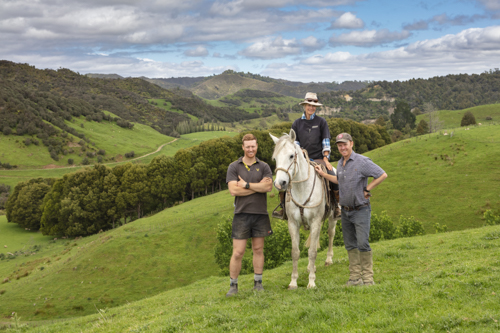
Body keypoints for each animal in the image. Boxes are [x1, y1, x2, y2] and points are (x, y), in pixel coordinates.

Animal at [272, 129, 338, 288]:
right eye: (275, 158)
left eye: (291, 156)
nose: (280, 183)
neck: (302, 189)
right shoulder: (293, 224)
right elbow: (295, 252)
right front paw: (293, 282)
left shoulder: (315, 221)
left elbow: (313, 251)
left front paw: (311, 282)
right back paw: (310, 267)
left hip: (332, 218)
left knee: (331, 234)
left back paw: (328, 260)